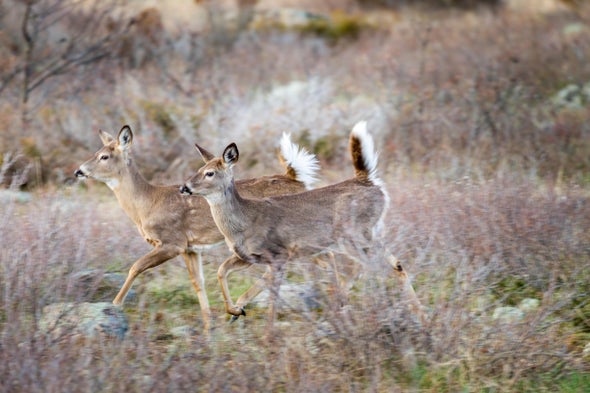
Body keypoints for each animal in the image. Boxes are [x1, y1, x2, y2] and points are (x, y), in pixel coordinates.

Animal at [77, 123, 324, 330]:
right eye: (97, 152)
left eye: (104, 156)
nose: (78, 171)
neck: (147, 203)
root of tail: (297, 179)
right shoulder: (190, 248)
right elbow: (198, 283)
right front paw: (208, 327)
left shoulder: (173, 242)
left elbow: (135, 267)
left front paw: (114, 305)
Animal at [182, 120, 430, 328]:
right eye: (197, 170)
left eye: (209, 173)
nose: (184, 187)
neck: (243, 221)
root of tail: (368, 181)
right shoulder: (248, 257)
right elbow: (222, 270)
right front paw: (235, 310)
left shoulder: (279, 253)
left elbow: (271, 294)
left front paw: (269, 334)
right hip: (368, 234)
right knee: (395, 263)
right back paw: (419, 315)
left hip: (352, 235)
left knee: (373, 266)